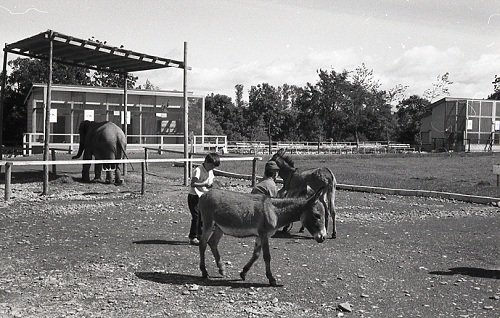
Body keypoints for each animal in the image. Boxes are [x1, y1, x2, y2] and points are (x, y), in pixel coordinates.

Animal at [197, 188, 326, 286]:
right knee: (202, 243)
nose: (323, 237)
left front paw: (243, 273)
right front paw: (271, 279)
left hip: (220, 228)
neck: (274, 211)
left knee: (212, 243)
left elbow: (256, 255)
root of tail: (204, 194)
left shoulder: (260, 236)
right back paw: (204, 272)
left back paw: (222, 269)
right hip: (209, 223)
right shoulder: (264, 235)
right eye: (317, 215)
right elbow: (267, 256)